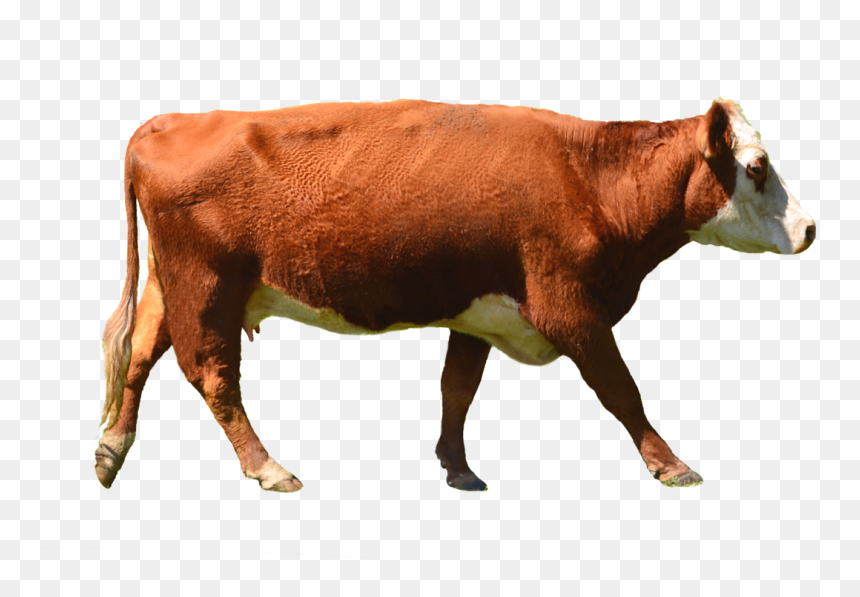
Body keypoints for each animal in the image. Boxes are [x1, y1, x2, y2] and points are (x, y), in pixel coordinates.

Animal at [96, 99, 815, 493]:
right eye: (756, 167)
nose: (810, 228)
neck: (591, 178)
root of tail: (166, 122)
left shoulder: (477, 312)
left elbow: (457, 388)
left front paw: (456, 466)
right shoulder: (569, 307)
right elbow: (621, 388)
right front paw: (670, 464)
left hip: (173, 283)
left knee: (139, 353)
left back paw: (112, 449)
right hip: (207, 284)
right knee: (212, 376)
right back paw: (268, 467)